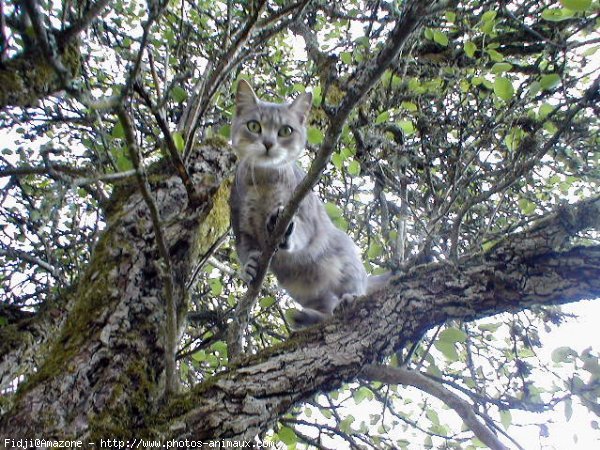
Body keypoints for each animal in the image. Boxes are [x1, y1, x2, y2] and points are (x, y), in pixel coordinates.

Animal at [227, 81, 386, 326]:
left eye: (285, 130)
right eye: (254, 126)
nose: (268, 143)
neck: (264, 182)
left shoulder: (303, 214)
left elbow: (300, 232)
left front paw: (282, 232)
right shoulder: (241, 228)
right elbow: (246, 252)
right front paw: (249, 267)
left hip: (345, 264)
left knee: (354, 290)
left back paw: (348, 299)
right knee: (326, 310)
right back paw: (305, 317)